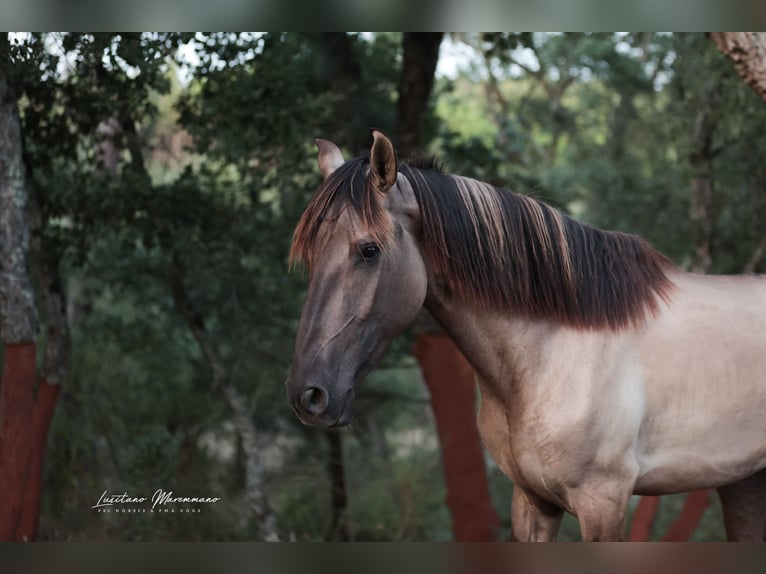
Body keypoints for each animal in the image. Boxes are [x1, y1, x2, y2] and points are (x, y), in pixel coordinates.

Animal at [286, 129, 766, 541]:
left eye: (369, 250)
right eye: (310, 255)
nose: (309, 395)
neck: (550, 354)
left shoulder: (603, 502)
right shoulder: (532, 502)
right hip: (743, 483)